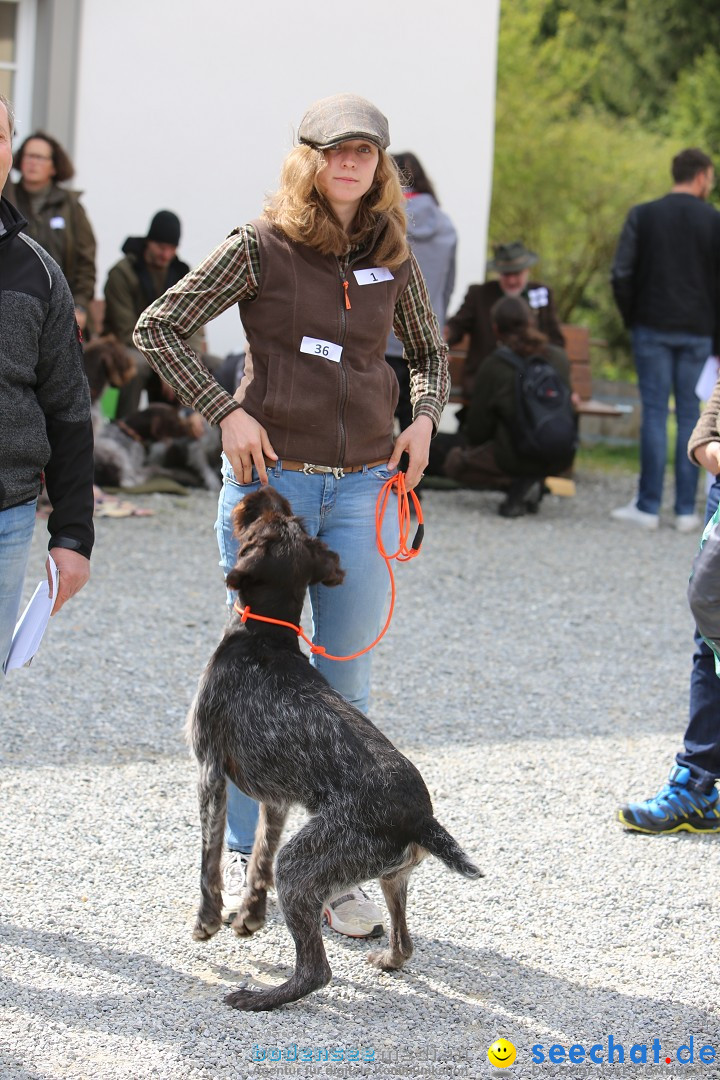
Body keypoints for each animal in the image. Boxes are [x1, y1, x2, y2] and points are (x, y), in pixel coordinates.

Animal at [185, 486, 481, 1006]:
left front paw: (208, 919)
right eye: (285, 518)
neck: (267, 635)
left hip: (303, 866)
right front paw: (251, 915)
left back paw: (263, 997)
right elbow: (258, 858)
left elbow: (210, 856)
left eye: (261, 521)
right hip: (390, 874)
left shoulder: (210, 772)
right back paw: (389, 959)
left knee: (316, 970)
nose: (264, 489)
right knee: (405, 942)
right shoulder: (276, 798)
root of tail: (420, 819)